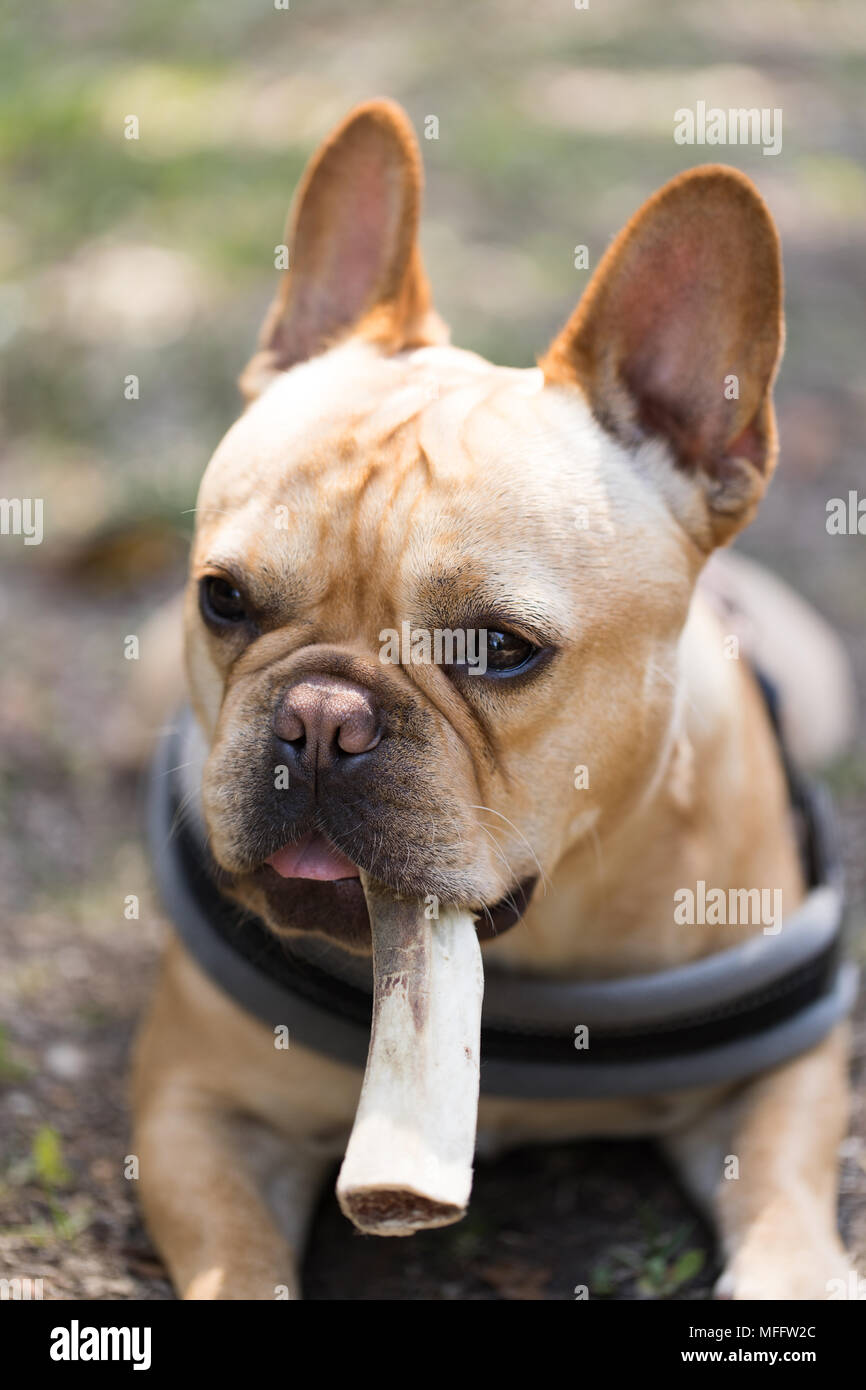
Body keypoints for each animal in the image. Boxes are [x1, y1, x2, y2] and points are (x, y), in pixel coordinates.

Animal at [130, 100, 856, 1301]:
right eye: (223, 599)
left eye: (499, 648)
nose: (319, 716)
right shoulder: (196, 1106)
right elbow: (238, 1259)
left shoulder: (787, 1071)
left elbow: (786, 1199)